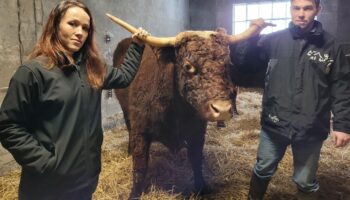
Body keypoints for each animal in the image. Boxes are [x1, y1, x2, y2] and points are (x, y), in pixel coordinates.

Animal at [108, 14, 262, 198]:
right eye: (188, 66)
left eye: (228, 63)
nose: (222, 110)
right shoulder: (140, 132)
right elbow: (139, 167)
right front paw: (135, 193)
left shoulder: (198, 132)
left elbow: (196, 160)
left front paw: (201, 188)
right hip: (125, 111)